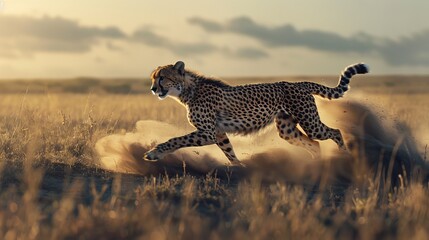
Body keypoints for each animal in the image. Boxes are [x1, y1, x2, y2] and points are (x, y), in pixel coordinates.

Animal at [144, 61, 368, 165]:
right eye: (153, 78)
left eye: (162, 77)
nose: (153, 89)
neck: (188, 90)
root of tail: (299, 83)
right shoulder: (218, 133)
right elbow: (229, 152)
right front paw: (240, 168)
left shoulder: (208, 133)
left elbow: (176, 140)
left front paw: (155, 152)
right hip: (286, 129)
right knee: (313, 144)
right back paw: (315, 166)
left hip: (310, 123)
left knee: (334, 132)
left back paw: (345, 156)